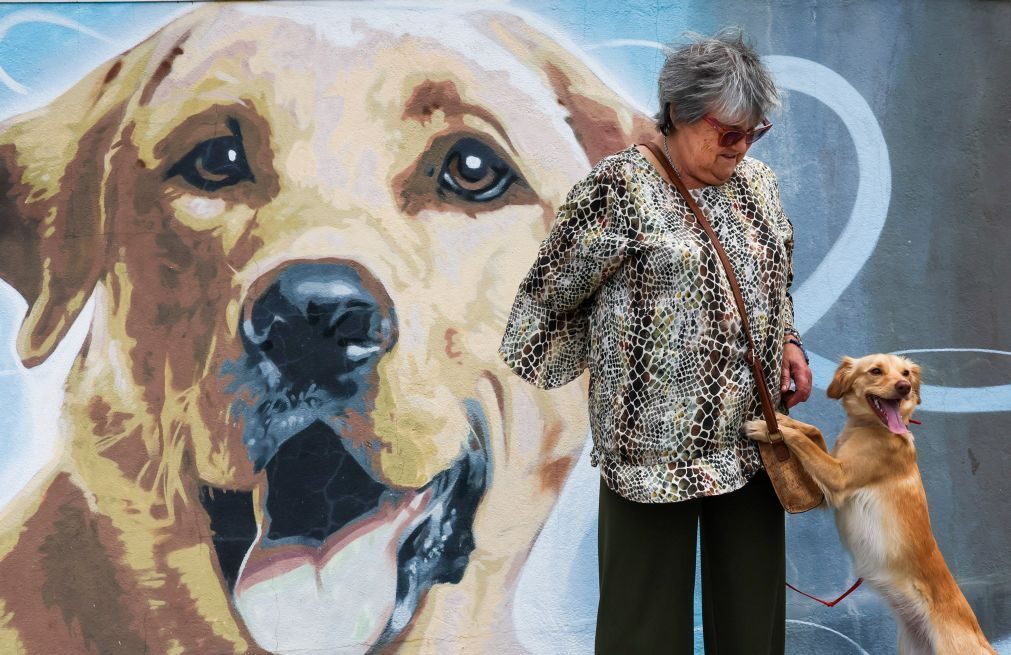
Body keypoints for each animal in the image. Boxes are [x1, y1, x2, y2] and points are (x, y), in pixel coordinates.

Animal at [744, 355, 994, 655]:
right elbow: (814, 432)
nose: (904, 387)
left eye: (906, 373)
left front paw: (769, 429)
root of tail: (982, 639)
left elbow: (804, 441)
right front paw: (781, 419)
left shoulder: (838, 480)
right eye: (875, 371)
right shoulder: (824, 489)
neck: (870, 428)